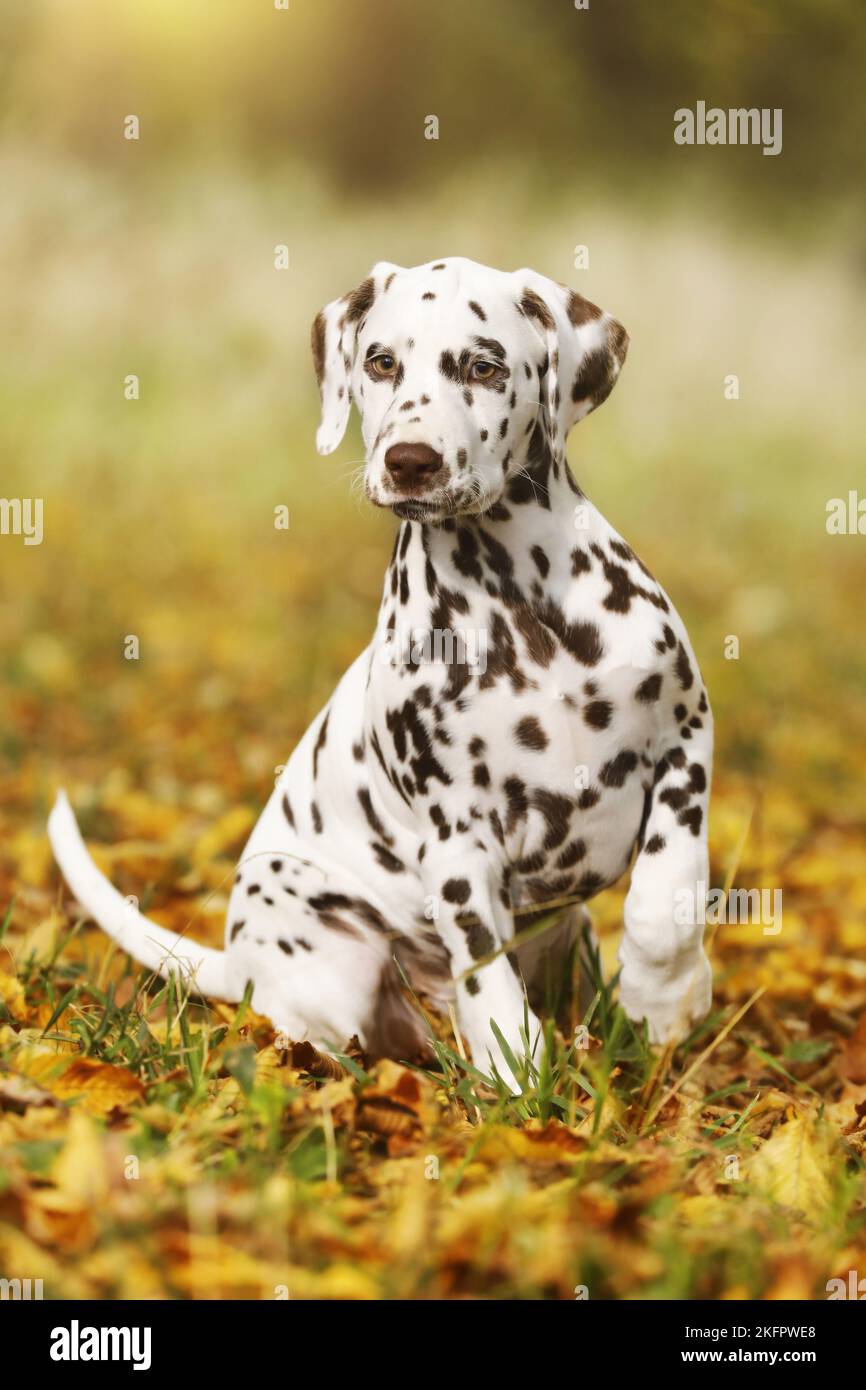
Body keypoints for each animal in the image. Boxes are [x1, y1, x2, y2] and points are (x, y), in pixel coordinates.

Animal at [47, 261, 711, 1084]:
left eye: (484, 367)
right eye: (382, 362)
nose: (409, 461)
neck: (524, 603)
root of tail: (238, 964)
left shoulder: (685, 737)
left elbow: (667, 892)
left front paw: (667, 997)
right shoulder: (457, 838)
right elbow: (483, 967)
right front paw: (516, 1073)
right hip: (318, 935)